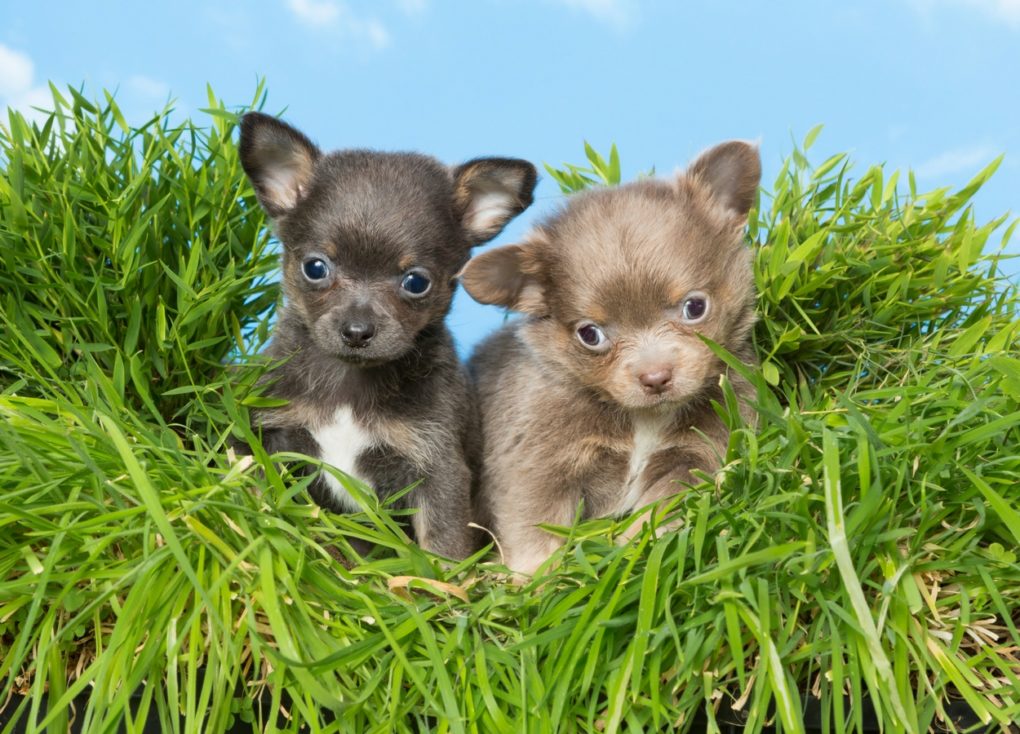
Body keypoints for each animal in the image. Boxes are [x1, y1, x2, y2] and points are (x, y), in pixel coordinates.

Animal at [237, 113, 538, 554]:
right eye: (315, 268)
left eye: (416, 282)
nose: (357, 330)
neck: (348, 386)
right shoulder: (273, 439)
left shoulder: (437, 470)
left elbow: (442, 547)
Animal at [461, 138, 758, 574]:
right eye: (590, 334)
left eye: (695, 307)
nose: (655, 377)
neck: (642, 420)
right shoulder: (535, 468)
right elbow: (535, 530)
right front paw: (534, 579)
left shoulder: (696, 457)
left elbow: (660, 512)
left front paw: (633, 550)